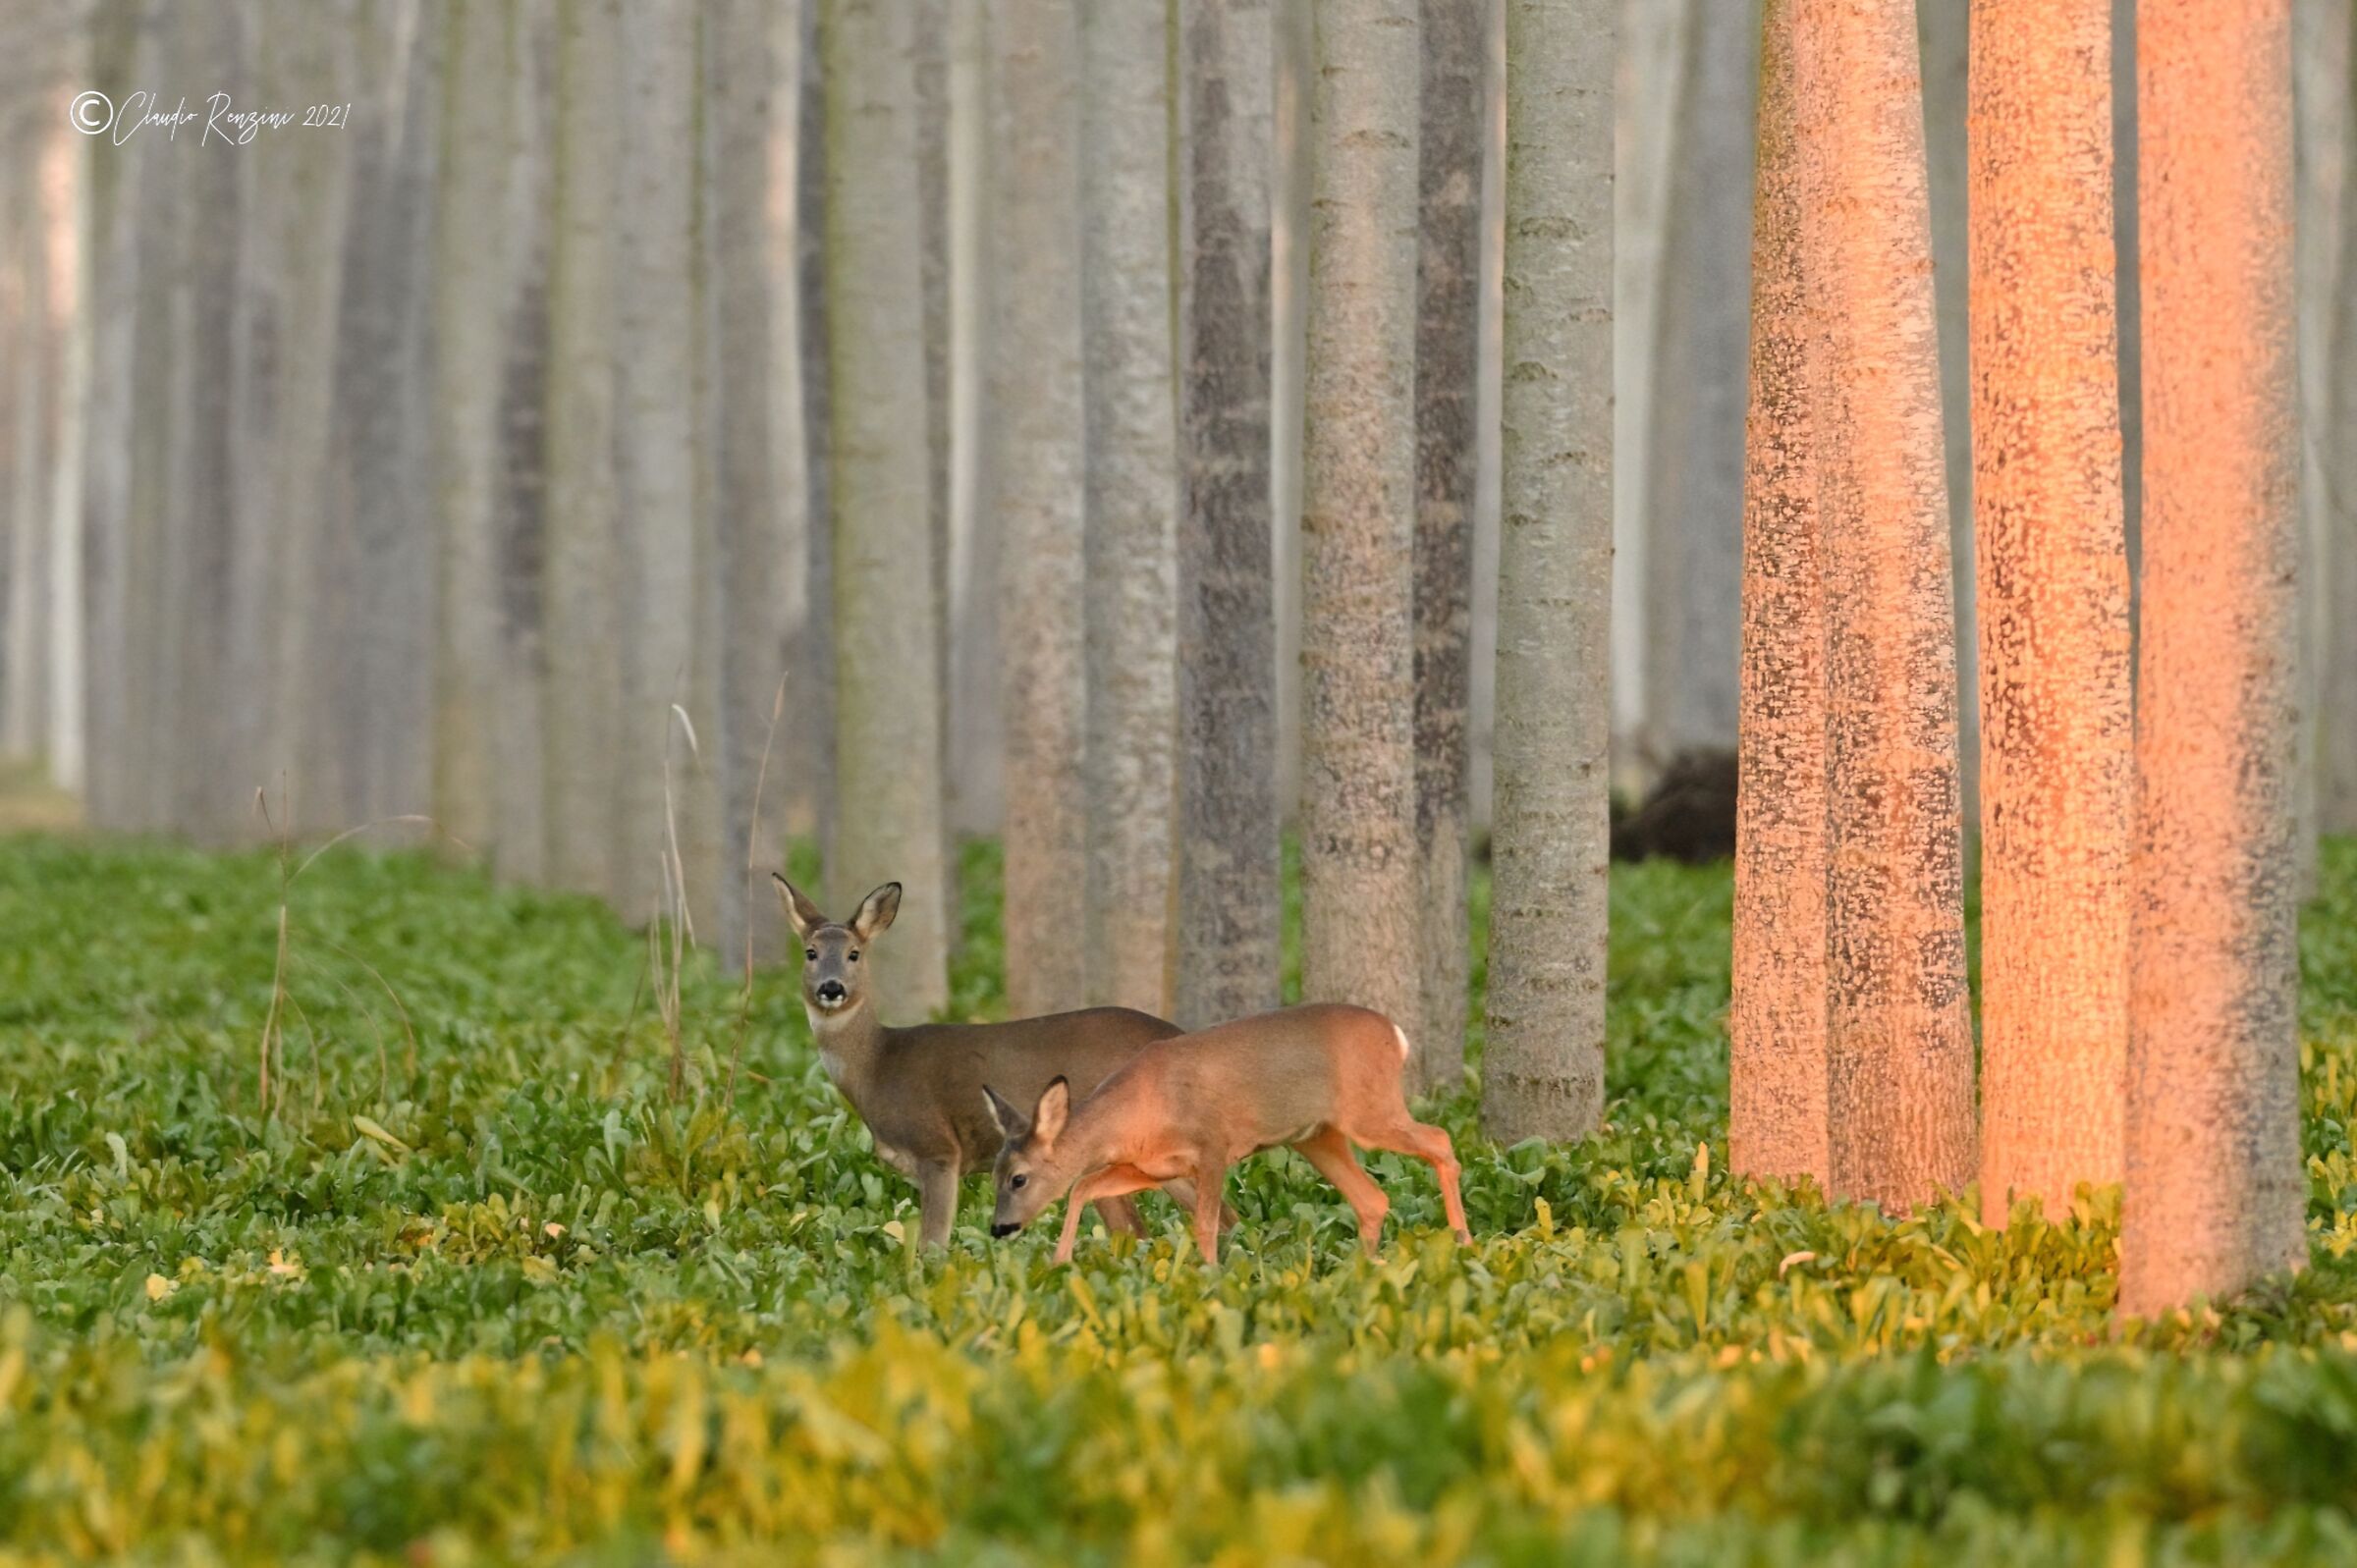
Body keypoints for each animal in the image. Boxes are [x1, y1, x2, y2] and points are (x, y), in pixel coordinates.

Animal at [775, 875, 1221, 1250]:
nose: (832, 988)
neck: (878, 1064)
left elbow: (933, 1246)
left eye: (854, 954)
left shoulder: (938, 1148)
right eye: (811, 952)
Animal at [983, 1001, 1473, 1265]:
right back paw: (1366, 1266)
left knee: (1440, 1140)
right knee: (1373, 1198)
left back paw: (1463, 1241)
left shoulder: (1212, 1145)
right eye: (993, 1175)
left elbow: (1204, 1222)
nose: (998, 1228)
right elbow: (1083, 1185)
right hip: (1317, 1136)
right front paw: (1059, 1262)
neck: (1136, 1112)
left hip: (1369, 1112)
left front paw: (1209, 1275)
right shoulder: (1152, 1167)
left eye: (1018, 1178)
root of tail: (1396, 1033)